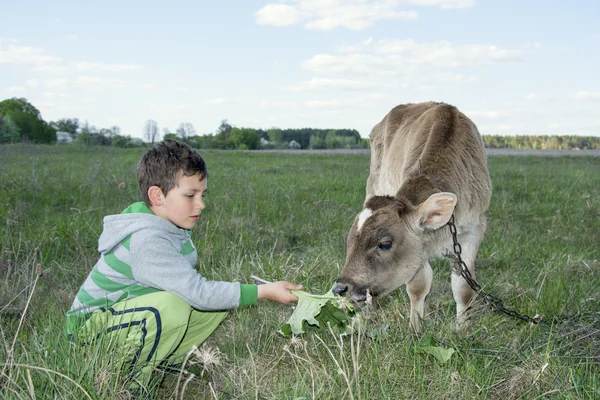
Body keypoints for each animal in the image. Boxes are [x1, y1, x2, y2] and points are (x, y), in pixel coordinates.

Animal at [332, 101, 492, 332]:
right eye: (350, 240)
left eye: (384, 244)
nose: (340, 288)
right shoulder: (419, 248)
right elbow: (418, 286)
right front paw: (415, 328)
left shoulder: (472, 232)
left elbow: (464, 288)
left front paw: (463, 329)